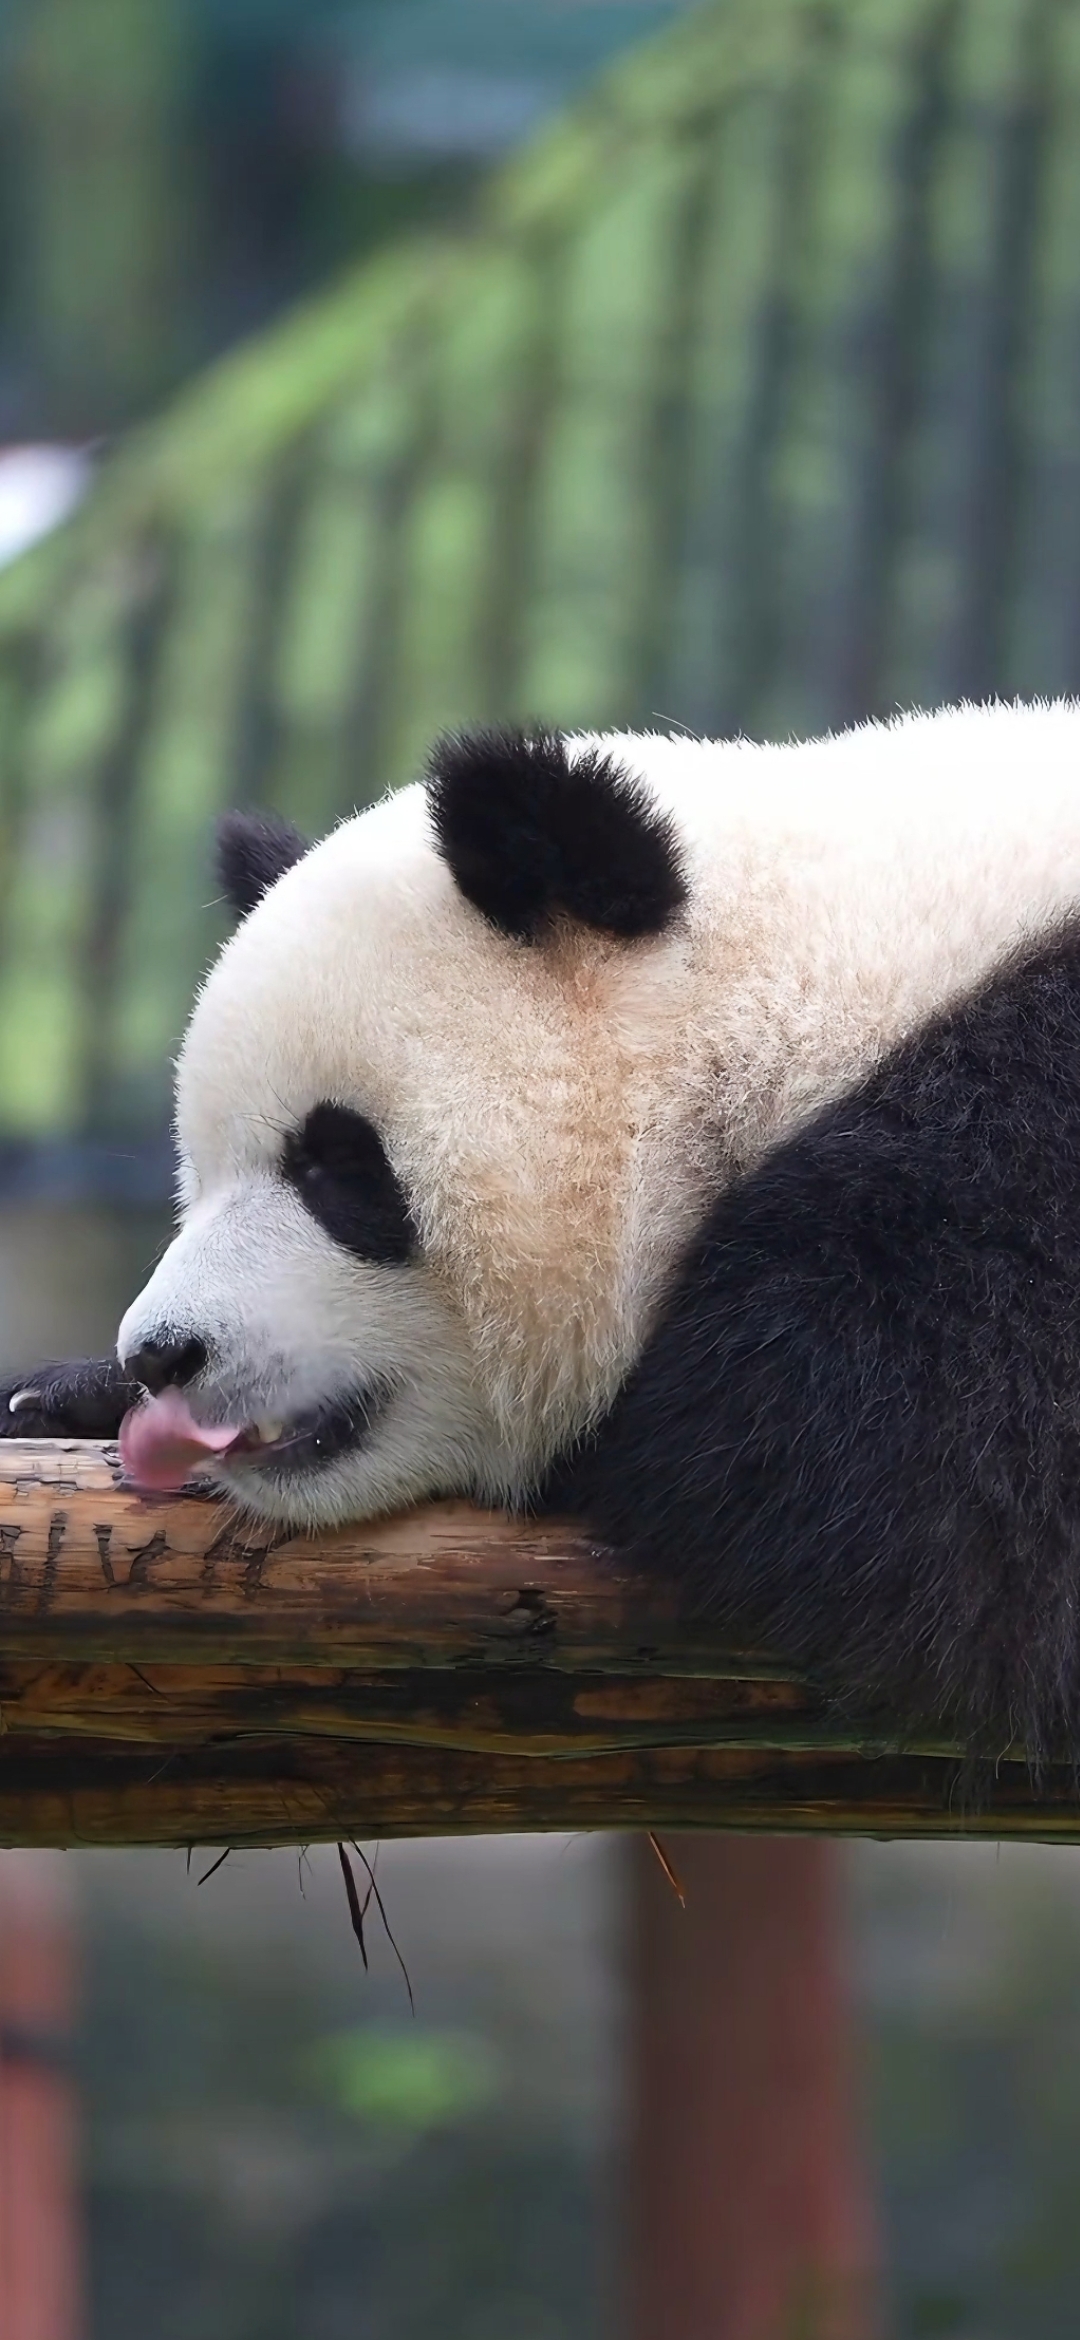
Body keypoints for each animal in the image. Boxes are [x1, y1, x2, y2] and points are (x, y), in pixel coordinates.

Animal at [6, 706, 1080, 1759]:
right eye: (198, 1179)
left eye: (336, 1166)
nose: (162, 1353)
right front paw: (63, 1395)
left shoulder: (1010, 1174)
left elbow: (907, 1512)